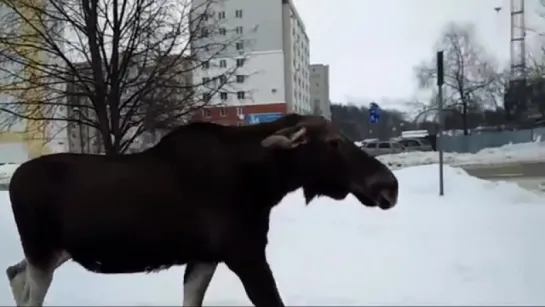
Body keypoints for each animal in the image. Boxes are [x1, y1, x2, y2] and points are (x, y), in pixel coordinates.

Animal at [3, 114, 396, 306]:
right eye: (332, 142)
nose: (388, 185)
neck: (264, 185)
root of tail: (14, 179)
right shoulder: (245, 254)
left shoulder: (205, 257)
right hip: (42, 250)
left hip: (55, 252)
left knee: (14, 273)